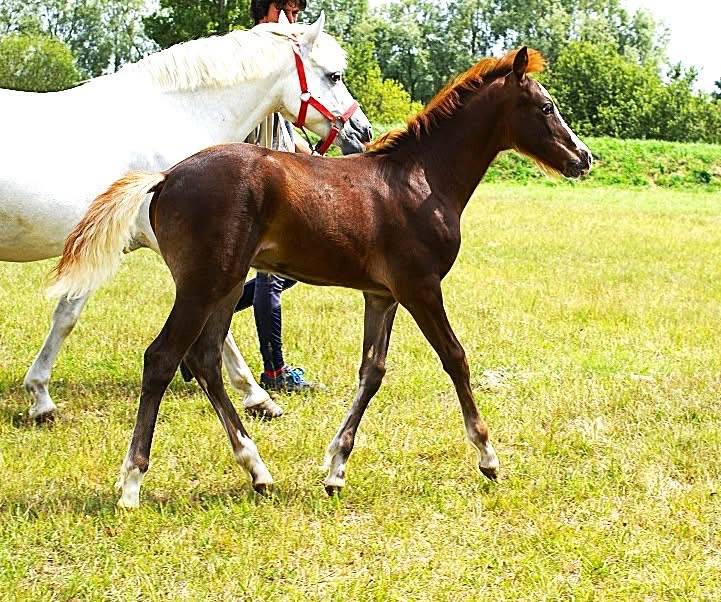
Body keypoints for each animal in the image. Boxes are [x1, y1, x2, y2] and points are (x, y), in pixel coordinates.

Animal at [0, 13, 372, 422]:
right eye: (334, 76)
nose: (363, 130)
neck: (170, 122)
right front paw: (257, 395)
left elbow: (66, 315)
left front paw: (40, 396)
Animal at [50, 47, 592, 507]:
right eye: (546, 107)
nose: (585, 158)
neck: (421, 180)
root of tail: (165, 178)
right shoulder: (421, 287)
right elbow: (455, 358)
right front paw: (488, 457)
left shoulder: (382, 295)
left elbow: (372, 372)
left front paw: (335, 468)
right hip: (203, 285)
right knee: (162, 358)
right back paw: (132, 483)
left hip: (225, 285)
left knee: (204, 360)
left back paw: (258, 470)